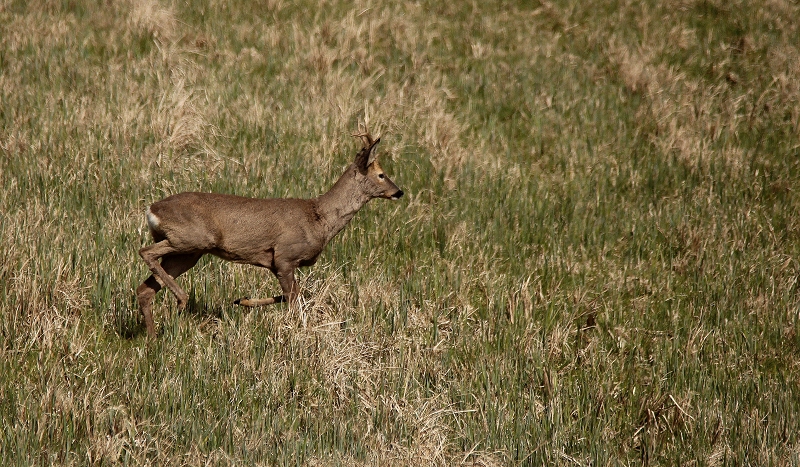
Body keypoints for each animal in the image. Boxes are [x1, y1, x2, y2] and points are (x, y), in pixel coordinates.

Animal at [135, 130, 406, 338]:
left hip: (187, 253)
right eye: (381, 174)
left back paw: (152, 337)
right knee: (145, 251)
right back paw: (181, 300)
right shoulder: (285, 257)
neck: (318, 218)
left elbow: (293, 296)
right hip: (192, 239)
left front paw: (242, 301)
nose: (399, 192)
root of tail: (152, 209)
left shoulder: (280, 264)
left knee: (144, 289)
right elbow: (293, 300)